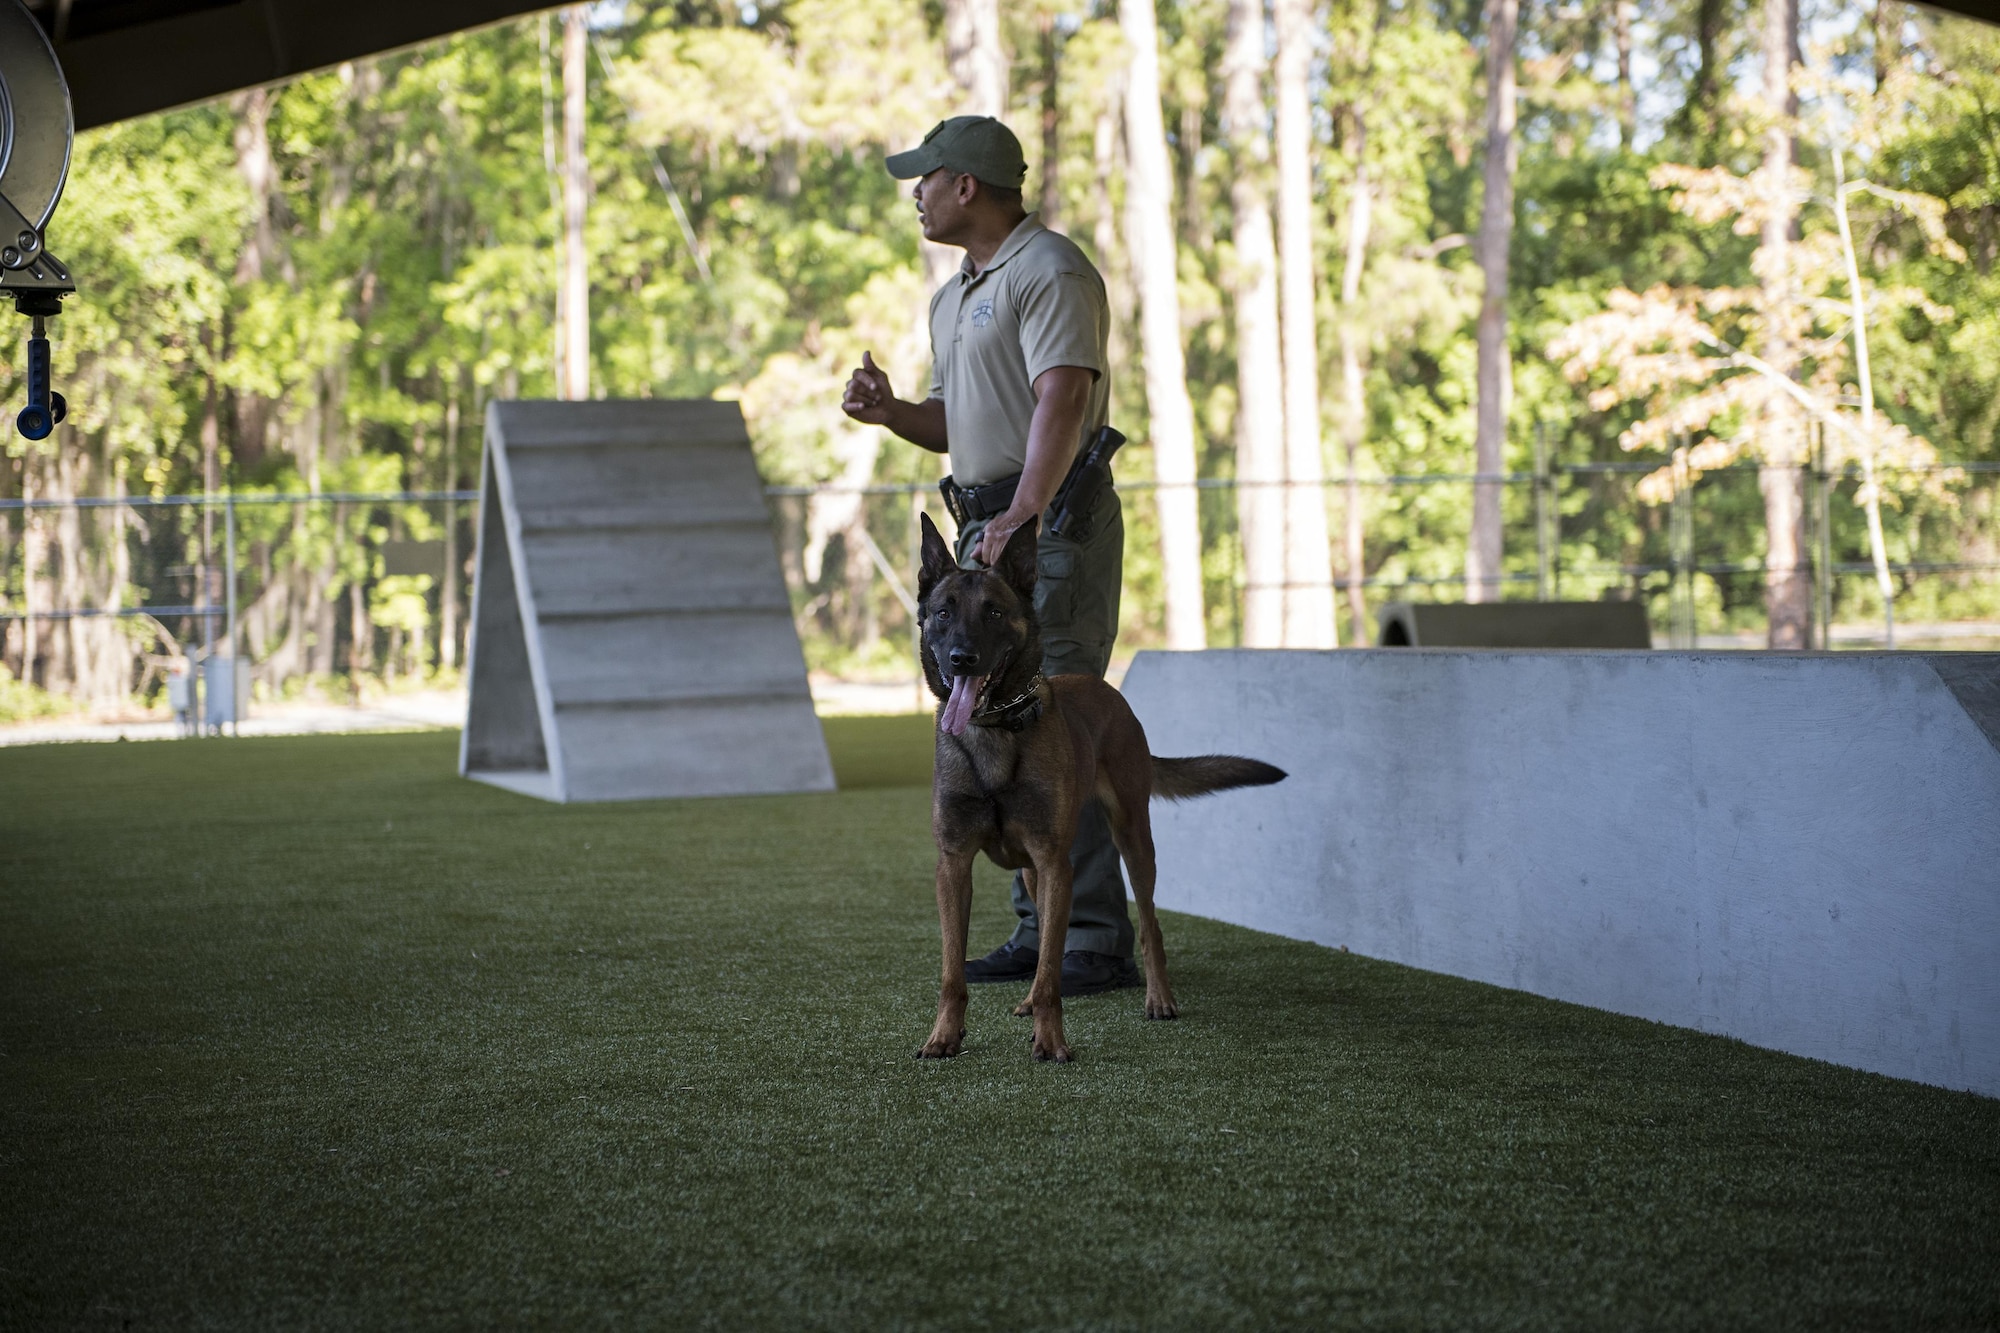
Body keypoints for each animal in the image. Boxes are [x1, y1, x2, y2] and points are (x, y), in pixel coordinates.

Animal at [912, 508, 1280, 1056]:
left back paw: (1158, 998)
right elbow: (953, 971)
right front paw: (943, 1037)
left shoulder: (1055, 862)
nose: (962, 658)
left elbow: (1051, 969)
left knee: (1147, 928)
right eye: (942, 613)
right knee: (1048, 936)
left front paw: (1051, 1042)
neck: (994, 729)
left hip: (1131, 840)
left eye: (994, 613)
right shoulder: (954, 865)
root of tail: (1109, 691)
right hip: (1033, 872)